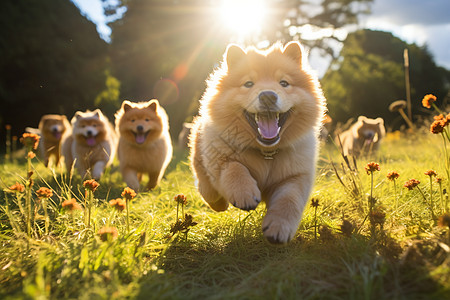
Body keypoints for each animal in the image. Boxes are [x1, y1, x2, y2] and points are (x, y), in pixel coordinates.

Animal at [188, 41, 326, 244]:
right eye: (248, 83)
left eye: (284, 83)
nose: (268, 96)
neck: (266, 153)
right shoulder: (220, 160)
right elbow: (234, 168)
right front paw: (244, 193)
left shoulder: (296, 177)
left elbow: (289, 200)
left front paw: (279, 228)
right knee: (206, 187)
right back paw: (217, 201)